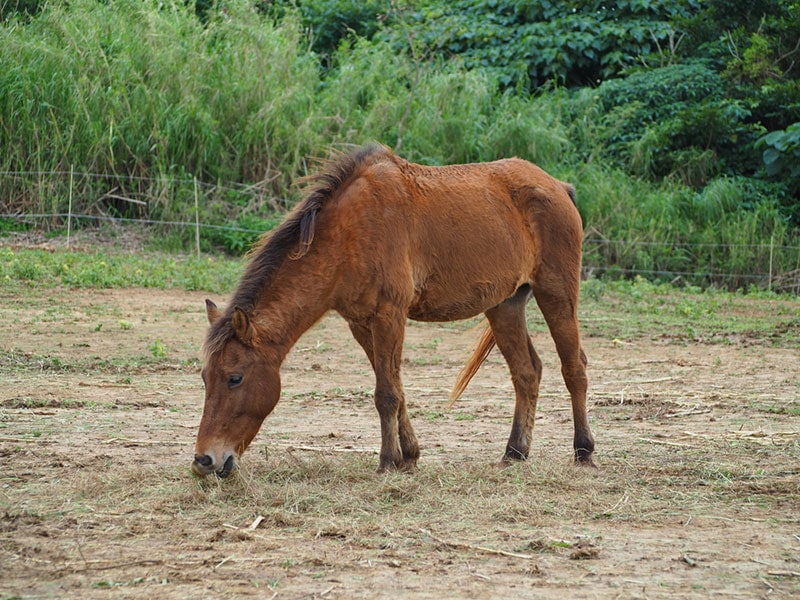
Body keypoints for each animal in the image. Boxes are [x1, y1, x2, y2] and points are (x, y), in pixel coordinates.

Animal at [192, 143, 592, 476]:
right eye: (205, 378)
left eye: (234, 378)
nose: (204, 461)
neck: (348, 233)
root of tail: (559, 187)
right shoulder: (361, 323)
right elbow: (395, 390)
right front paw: (409, 456)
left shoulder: (389, 315)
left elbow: (386, 394)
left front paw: (387, 462)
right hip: (505, 305)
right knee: (527, 372)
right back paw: (515, 452)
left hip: (556, 293)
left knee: (574, 368)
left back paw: (584, 451)